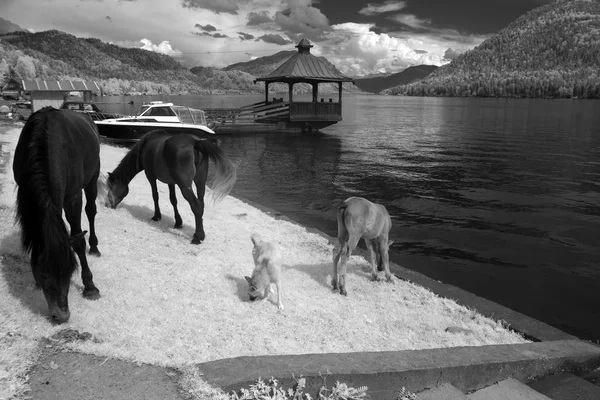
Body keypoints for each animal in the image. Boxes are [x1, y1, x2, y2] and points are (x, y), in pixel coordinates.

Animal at [13, 105, 102, 322]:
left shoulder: (73, 197)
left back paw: (95, 247)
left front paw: (90, 287)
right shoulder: (25, 192)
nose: (61, 315)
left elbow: (78, 240)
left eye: (70, 271)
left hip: (93, 177)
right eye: (44, 273)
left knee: (91, 211)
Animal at [105, 130, 237, 244]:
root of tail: (195, 142)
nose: (107, 204)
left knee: (196, 205)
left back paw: (198, 237)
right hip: (200, 182)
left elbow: (155, 196)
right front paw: (178, 222)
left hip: (185, 185)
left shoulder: (150, 176)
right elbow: (173, 200)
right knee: (201, 204)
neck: (144, 148)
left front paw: (157, 216)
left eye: (110, 187)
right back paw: (198, 233)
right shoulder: (171, 182)